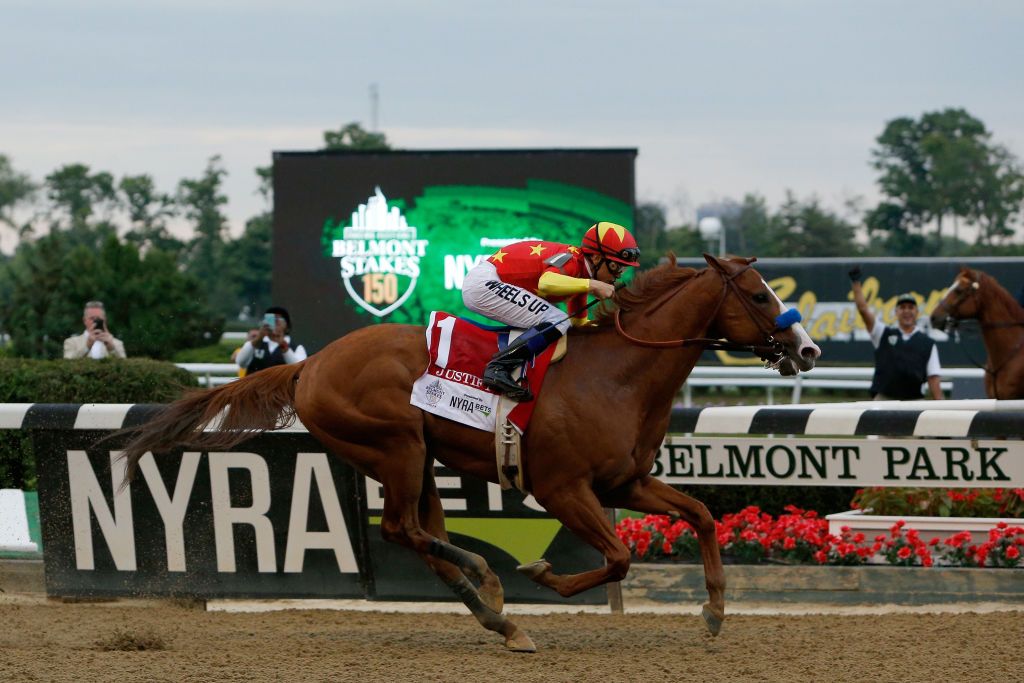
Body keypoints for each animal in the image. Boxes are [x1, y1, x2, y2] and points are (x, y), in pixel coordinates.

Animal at [116, 252, 819, 651]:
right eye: (762, 295)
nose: (808, 350)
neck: (616, 375)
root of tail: (308, 364)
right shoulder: (562, 488)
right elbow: (618, 557)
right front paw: (541, 574)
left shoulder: (625, 483)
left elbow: (700, 517)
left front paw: (715, 611)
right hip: (394, 445)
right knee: (401, 530)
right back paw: (492, 586)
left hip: (416, 457)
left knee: (418, 535)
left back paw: (495, 614)